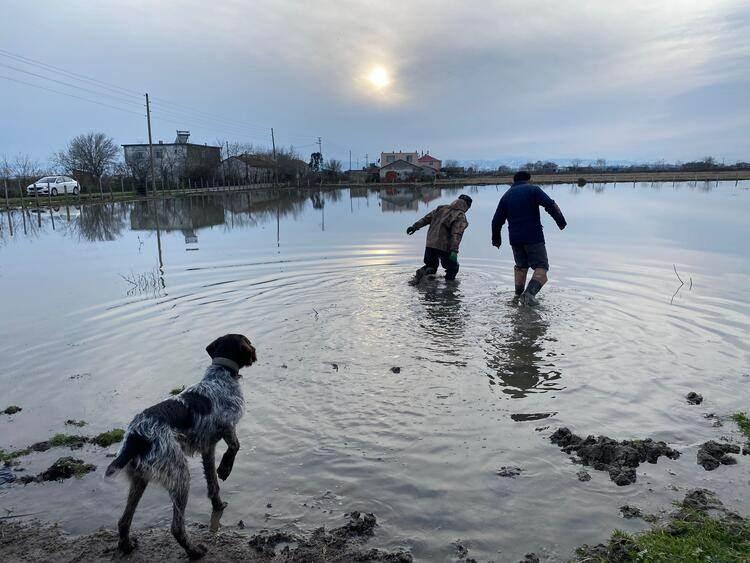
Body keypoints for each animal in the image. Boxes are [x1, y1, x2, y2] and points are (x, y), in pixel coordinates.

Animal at [106, 334, 258, 560]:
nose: (255, 352)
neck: (220, 374)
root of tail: (136, 437)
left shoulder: (208, 448)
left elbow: (212, 483)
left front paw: (218, 504)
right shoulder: (227, 425)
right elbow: (235, 447)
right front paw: (225, 469)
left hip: (139, 479)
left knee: (124, 520)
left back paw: (126, 545)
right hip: (180, 475)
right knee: (176, 527)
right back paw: (194, 551)